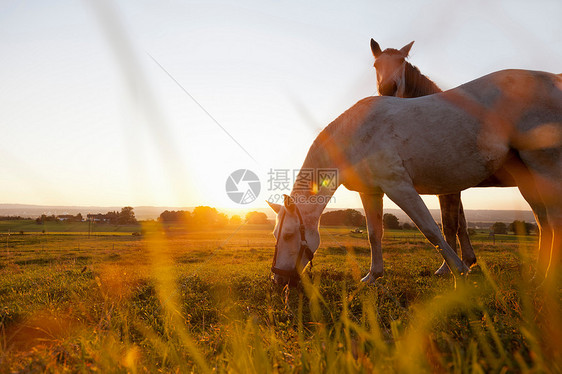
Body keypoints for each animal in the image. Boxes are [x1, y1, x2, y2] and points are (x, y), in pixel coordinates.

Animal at [266, 69, 560, 286]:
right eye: (275, 234)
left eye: (290, 235)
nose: (278, 280)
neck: (358, 134)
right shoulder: (371, 192)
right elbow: (374, 233)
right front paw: (373, 276)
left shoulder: (399, 187)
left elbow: (431, 229)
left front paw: (459, 271)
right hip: (528, 179)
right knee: (544, 224)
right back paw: (538, 277)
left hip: (544, 168)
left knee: (553, 223)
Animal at [370, 39, 474, 276]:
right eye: (376, 65)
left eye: (401, 61)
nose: (388, 89)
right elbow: (460, 222)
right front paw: (467, 261)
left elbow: (450, 224)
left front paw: (447, 268)